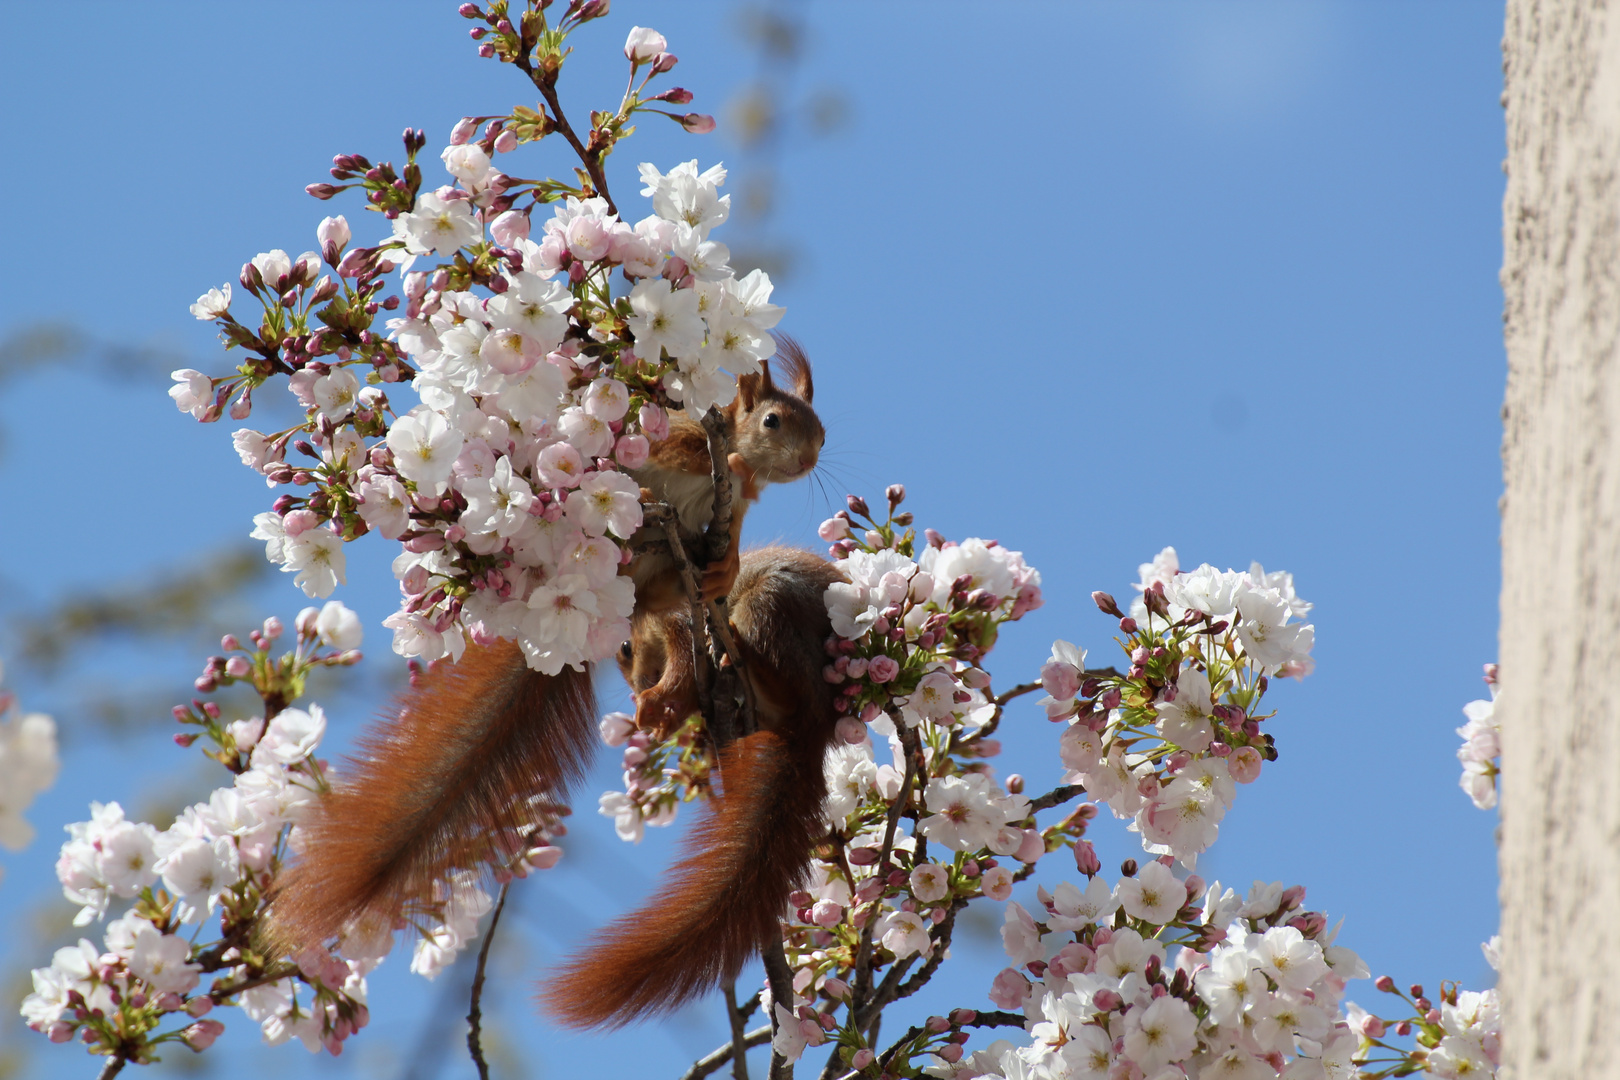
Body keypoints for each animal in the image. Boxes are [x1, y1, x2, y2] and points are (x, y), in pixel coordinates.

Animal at [270, 346, 822, 952]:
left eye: (819, 429)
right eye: (772, 421)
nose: (810, 456)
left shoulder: (728, 514)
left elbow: (730, 535)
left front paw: (725, 562)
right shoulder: (682, 439)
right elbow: (676, 452)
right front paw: (723, 467)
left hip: (663, 583)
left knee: (672, 602)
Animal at [544, 550, 848, 1029]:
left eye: (625, 648)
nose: (637, 689)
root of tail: (814, 727)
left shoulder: (682, 622)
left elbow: (685, 670)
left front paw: (656, 704)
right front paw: (664, 717)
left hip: (771, 606)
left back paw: (742, 656)